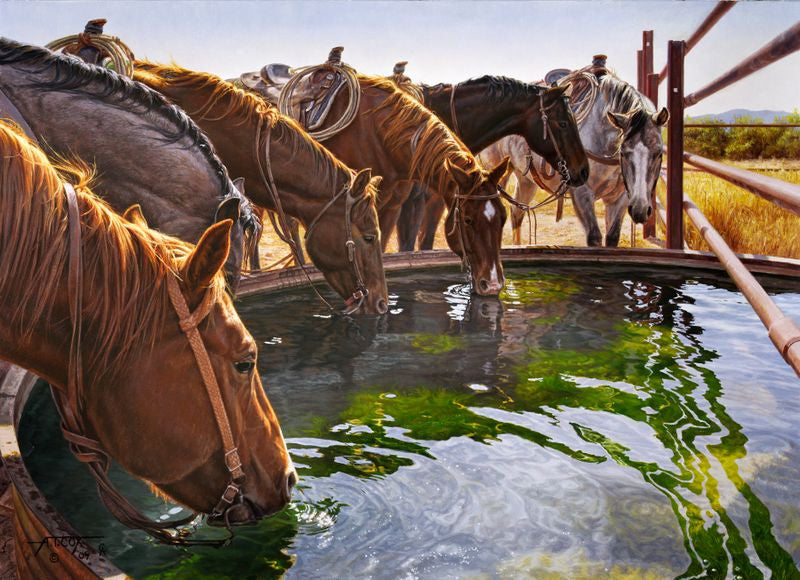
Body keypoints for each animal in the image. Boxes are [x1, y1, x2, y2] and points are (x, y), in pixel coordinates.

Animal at [480, 69, 668, 247]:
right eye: (624, 152)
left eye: (659, 153)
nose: (640, 210)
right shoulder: (582, 194)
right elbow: (594, 237)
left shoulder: (620, 198)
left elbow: (612, 237)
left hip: (526, 180)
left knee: (516, 211)